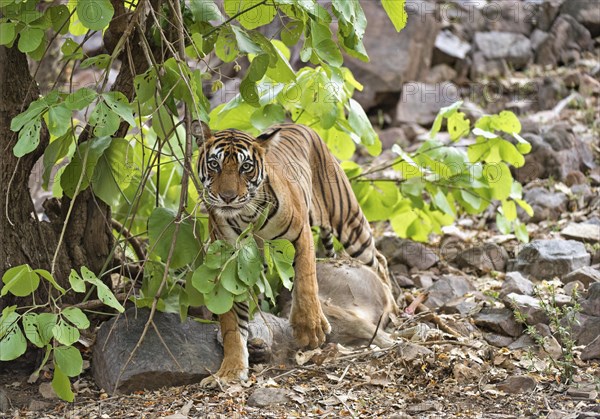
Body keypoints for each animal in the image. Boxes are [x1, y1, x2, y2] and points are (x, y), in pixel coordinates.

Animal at [193, 120, 398, 388]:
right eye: (214, 164)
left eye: (245, 167)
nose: (228, 197)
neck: (246, 215)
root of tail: (295, 124)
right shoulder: (231, 264)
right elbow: (232, 326)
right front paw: (230, 372)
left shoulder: (301, 235)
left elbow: (305, 282)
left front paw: (309, 329)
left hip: (348, 221)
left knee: (379, 261)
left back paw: (392, 306)